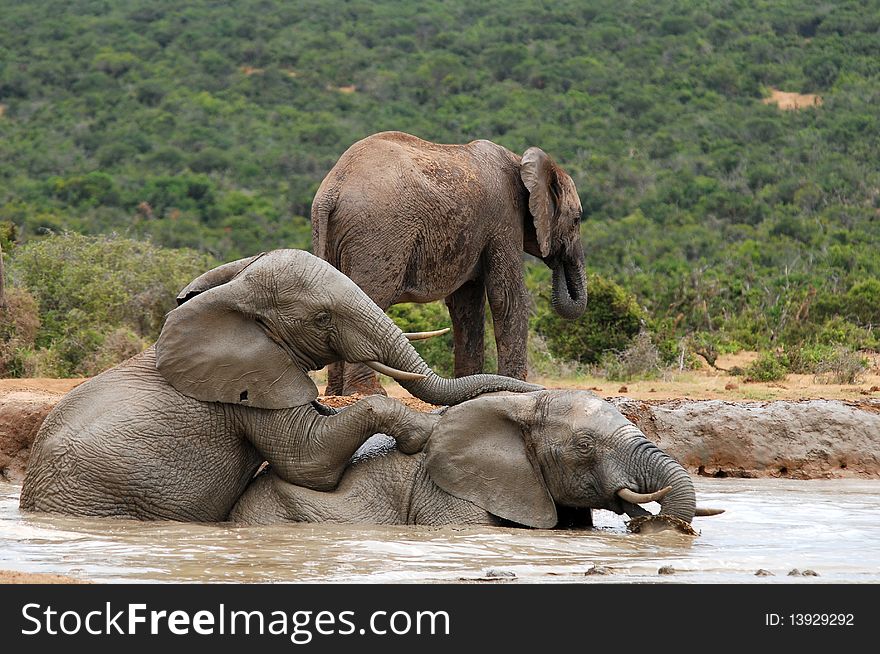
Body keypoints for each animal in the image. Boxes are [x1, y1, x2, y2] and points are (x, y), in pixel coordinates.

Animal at [20, 250, 540, 524]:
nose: (532, 392)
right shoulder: (249, 389)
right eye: (323, 318)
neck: (231, 297)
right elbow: (309, 461)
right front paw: (421, 435)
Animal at [312, 128, 588, 394]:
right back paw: (368, 392)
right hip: (378, 233)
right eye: (577, 220)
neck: (520, 162)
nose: (557, 256)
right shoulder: (504, 218)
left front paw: (473, 383)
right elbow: (506, 297)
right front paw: (516, 385)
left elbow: (466, 304)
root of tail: (333, 189)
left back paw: (337, 392)